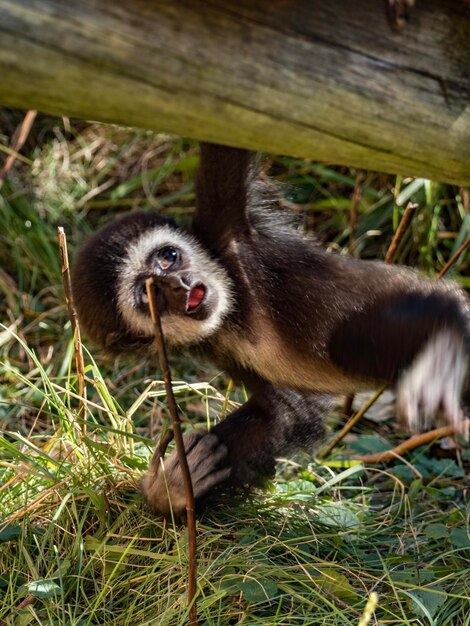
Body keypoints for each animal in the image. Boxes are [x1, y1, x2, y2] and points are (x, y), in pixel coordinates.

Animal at [71, 143, 468, 516]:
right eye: (150, 293)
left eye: (168, 257)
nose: (181, 285)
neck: (236, 310)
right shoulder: (216, 344)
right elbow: (286, 413)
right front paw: (172, 491)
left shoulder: (229, 231)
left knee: (350, 340)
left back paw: (444, 336)